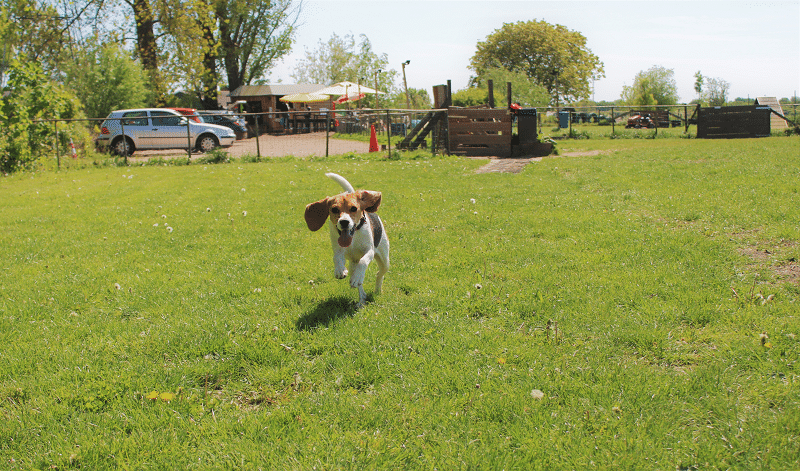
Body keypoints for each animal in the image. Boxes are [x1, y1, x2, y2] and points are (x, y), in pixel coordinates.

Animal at [304, 173, 390, 306]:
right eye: (334, 210)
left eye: (353, 208)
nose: (344, 222)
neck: (353, 237)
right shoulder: (338, 249)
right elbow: (336, 257)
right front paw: (340, 270)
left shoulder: (369, 251)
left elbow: (364, 261)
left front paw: (357, 275)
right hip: (353, 263)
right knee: (358, 283)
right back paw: (361, 299)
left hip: (384, 260)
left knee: (379, 274)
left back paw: (375, 289)